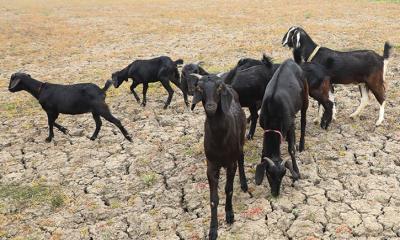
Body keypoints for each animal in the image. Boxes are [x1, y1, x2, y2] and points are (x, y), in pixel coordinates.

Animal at [191, 74, 247, 239]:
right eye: (200, 88)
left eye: (218, 88)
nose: (211, 107)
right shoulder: (211, 166)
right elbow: (213, 200)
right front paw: (213, 229)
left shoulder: (230, 164)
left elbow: (229, 189)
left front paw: (229, 215)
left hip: (241, 138)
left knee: (241, 158)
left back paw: (244, 183)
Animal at [255, 58, 308, 197]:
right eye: (269, 174)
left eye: (283, 175)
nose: (275, 193)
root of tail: (290, 61)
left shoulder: (290, 124)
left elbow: (291, 149)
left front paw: (296, 171)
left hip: (305, 97)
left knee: (304, 120)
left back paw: (301, 144)